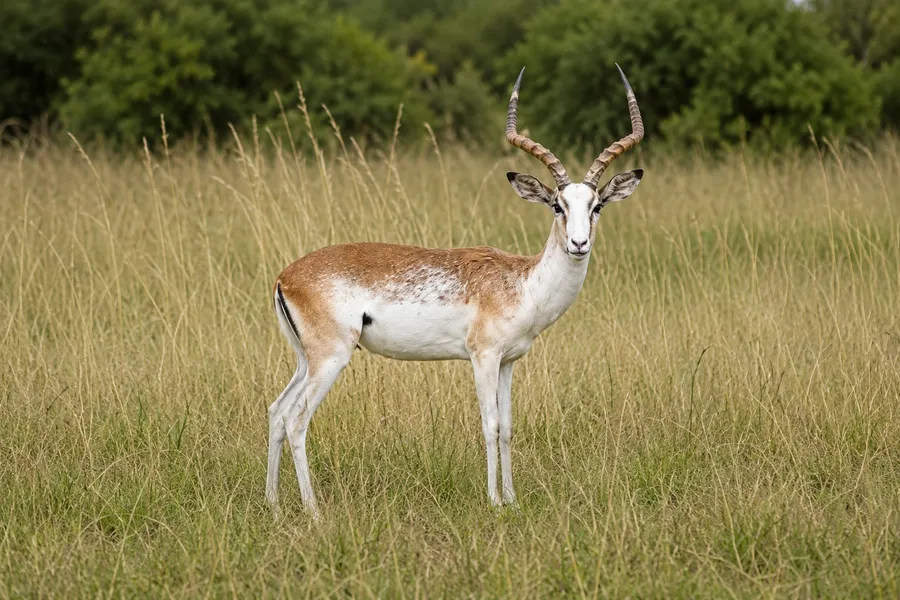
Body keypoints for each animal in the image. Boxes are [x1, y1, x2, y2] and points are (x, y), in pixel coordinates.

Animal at [267, 65, 645, 518]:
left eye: (596, 206)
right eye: (557, 205)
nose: (578, 244)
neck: (522, 283)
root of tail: (285, 276)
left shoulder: (508, 362)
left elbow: (508, 427)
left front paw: (513, 500)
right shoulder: (482, 357)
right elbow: (490, 424)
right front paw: (494, 501)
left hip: (304, 360)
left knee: (276, 411)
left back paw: (272, 503)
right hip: (330, 359)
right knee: (296, 420)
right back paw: (314, 511)